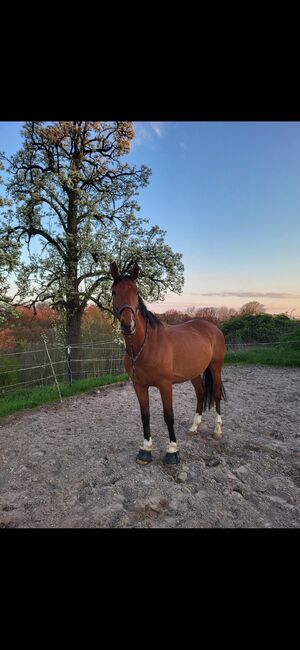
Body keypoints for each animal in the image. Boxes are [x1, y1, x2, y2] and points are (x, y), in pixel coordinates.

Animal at [111, 260, 226, 464]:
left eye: (136, 292)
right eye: (114, 292)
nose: (127, 325)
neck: (146, 345)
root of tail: (213, 328)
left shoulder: (165, 385)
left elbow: (168, 415)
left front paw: (172, 451)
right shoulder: (139, 386)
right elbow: (145, 415)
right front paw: (145, 450)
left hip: (215, 368)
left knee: (217, 394)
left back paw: (217, 430)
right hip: (194, 373)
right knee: (201, 394)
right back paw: (194, 427)